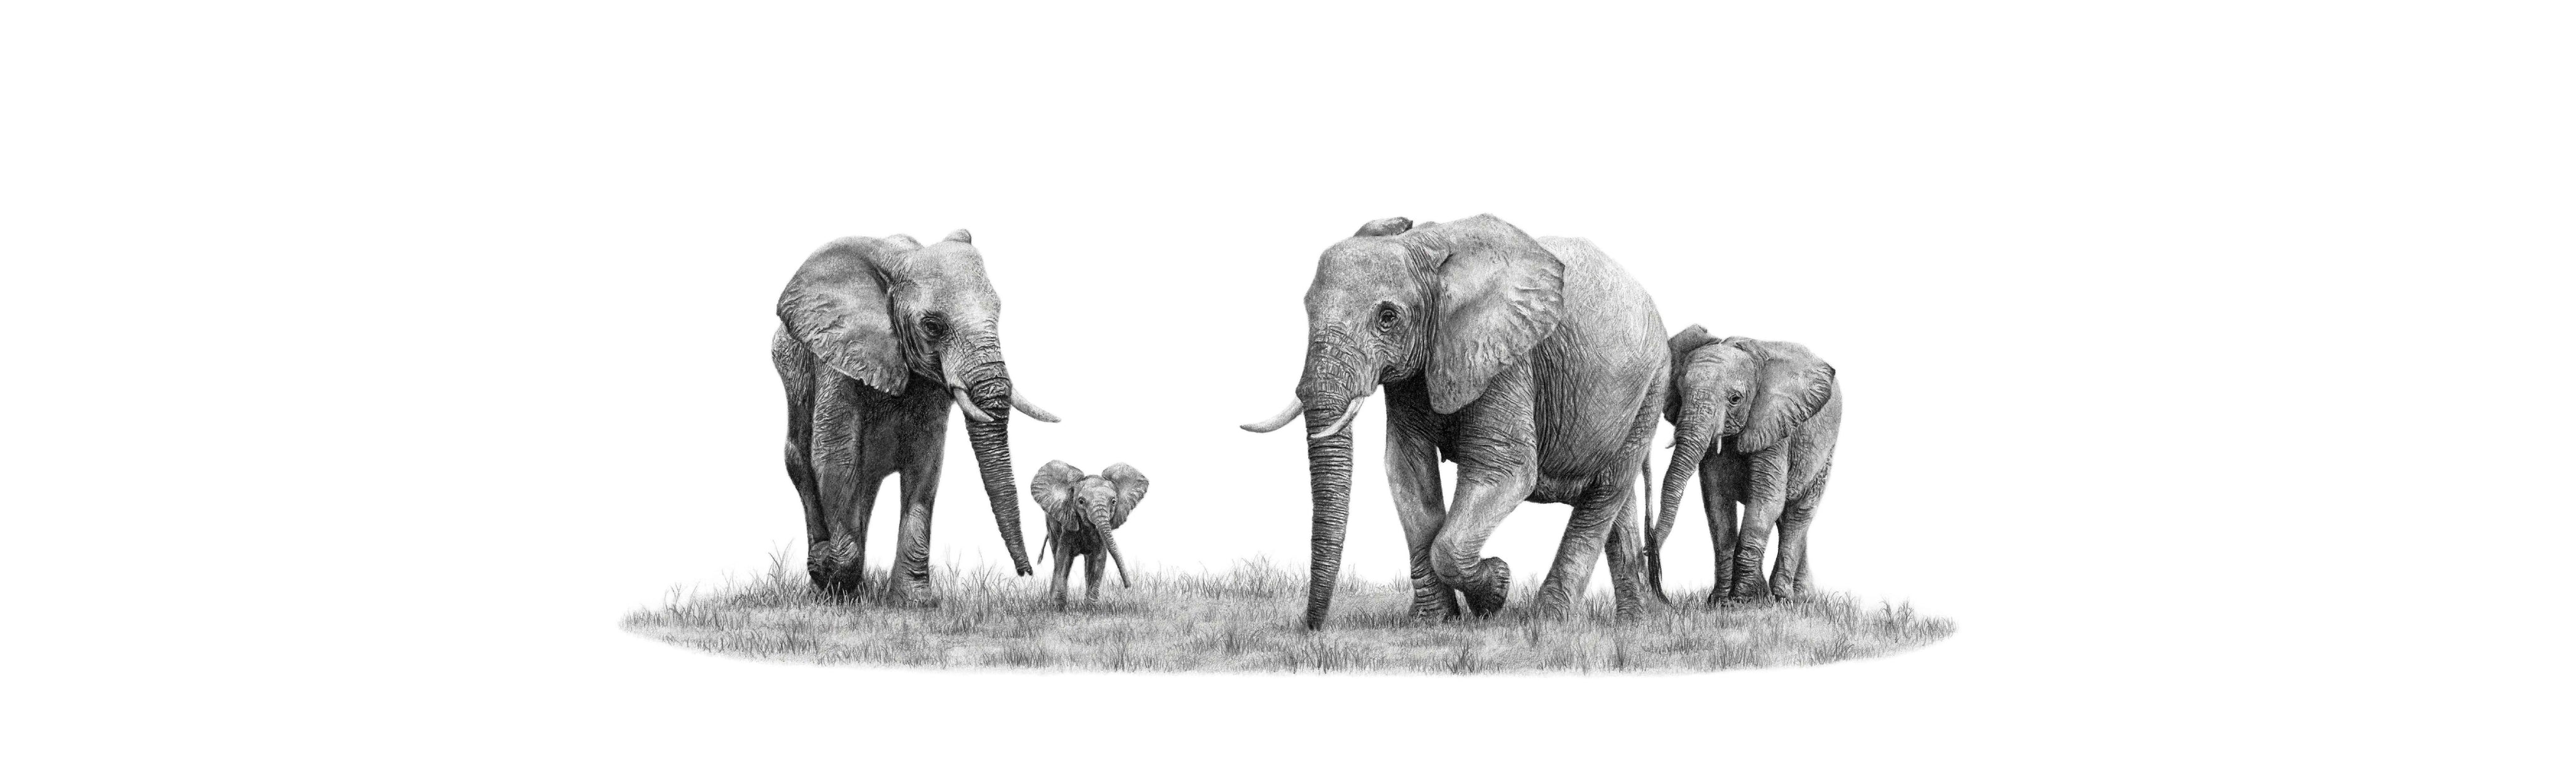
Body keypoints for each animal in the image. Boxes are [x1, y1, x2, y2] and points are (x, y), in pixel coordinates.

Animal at [771, 229, 1060, 601]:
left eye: (999, 313)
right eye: (933, 326)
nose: (1028, 572)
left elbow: (926, 460)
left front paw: (915, 603)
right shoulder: (837, 355)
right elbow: (835, 454)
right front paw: (826, 570)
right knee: (802, 462)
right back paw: (827, 590)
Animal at [1027, 461, 1150, 610]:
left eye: (1114, 502)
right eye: (1081, 501)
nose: (1128, 585)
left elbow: (1098, 559)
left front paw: (1090, 609)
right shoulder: (1069, 520)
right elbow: (1063, 557)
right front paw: (1058, 609)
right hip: (1051, 524)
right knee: (1056, 553)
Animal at [1242, 214, 1667, 629]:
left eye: (1387, 318)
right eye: (1307, 309)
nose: (1312, 628)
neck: (1429, 247)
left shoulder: (1506, 358)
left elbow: (1504, 471)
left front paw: (1496, 589)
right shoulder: (1416, 371)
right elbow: (1408, 470)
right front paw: (1436, 622)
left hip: (1651, 387)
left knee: (1607, 493)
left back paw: (1549, 622)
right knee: (1617, 502)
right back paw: (1632, 624)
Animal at [1645, 326, 1840, 604]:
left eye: (1735, 399)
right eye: (1680, 393)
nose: (1646, 550)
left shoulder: (1775, 423)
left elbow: (1766, 500)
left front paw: (1746, 600)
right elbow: (1717, 502)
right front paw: (1719, 602)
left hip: (1825, 451)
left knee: (1799, 513)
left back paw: (1784, 597)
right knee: (1786, 517)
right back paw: (1804, 599)